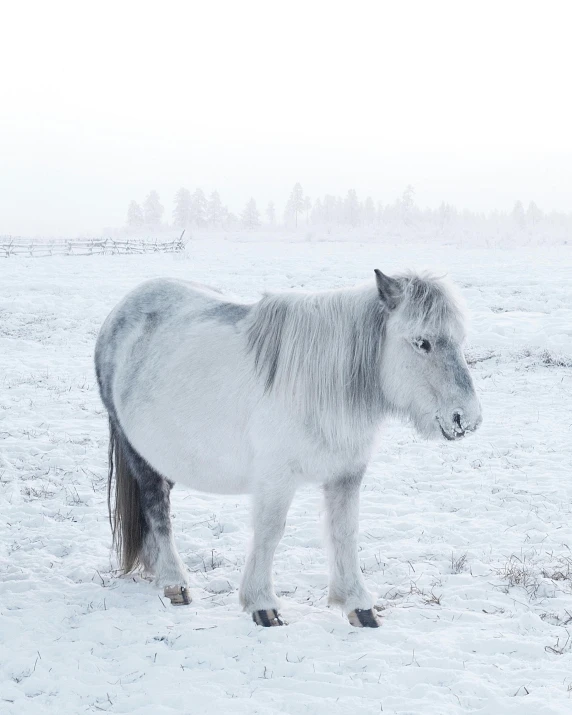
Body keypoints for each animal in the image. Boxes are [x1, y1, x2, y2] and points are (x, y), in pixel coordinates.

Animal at [95, 268, 482, 628]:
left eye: (459, 340)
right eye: (422, 342)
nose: (467, 418)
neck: (324, 384)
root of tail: (121, 312)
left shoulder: (347, 473)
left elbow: (345, 532)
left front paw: (358, 606)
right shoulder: (276, 477)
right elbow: (270, 531)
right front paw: (263, 605)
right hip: (139, 454)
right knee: (156, 507)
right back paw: (175, 582)